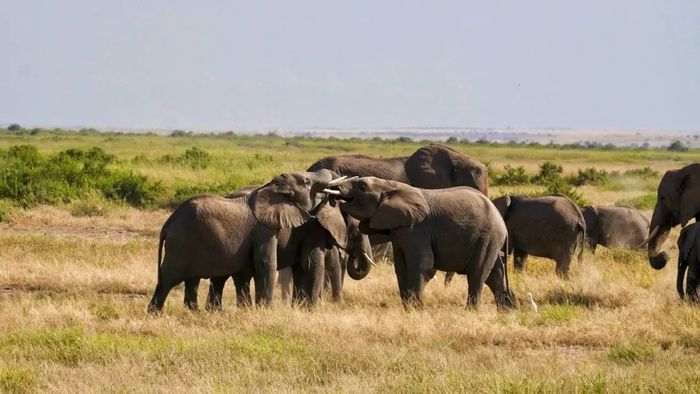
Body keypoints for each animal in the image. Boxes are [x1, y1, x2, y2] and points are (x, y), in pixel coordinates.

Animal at [146, 171, 348, 312]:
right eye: (307, 182)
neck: (271, 188)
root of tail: (168, 223)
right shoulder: (264, 230)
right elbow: (268, 264)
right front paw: (266, 311)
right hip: (181, 244)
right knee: (168, 279)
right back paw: (155, 313)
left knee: (193, 280)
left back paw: (195, 312)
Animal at [334, 177, 516, 310]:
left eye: (362, 187)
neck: (391, 185)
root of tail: (502, 222)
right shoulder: (399, 231)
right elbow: (401, 266)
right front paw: (408, 308)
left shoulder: (417, 229)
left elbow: (421, 264)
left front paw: (417, 308)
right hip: (490, 240)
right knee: (494, 275)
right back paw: (505, 311)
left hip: (488, 236)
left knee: (477, 273)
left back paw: (471, 311)